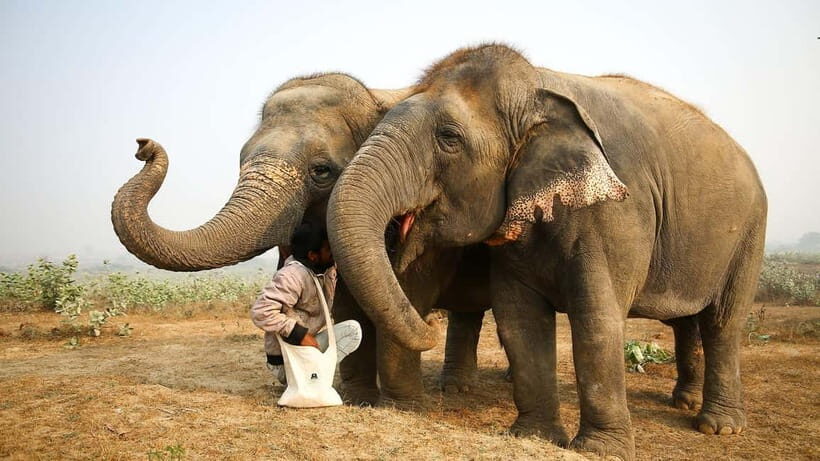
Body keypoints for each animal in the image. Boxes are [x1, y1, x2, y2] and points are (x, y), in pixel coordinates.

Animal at [327, 44, 766, 460]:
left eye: (449, 137)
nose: (430, 323)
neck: (539, 88)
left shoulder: (617, 211)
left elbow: (596, 319)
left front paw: (599, 450)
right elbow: (519, 320)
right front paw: (534, 437)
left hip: (750, 232)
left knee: (723, 321)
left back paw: (718, 427)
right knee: (686, 321)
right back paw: (685, 403)